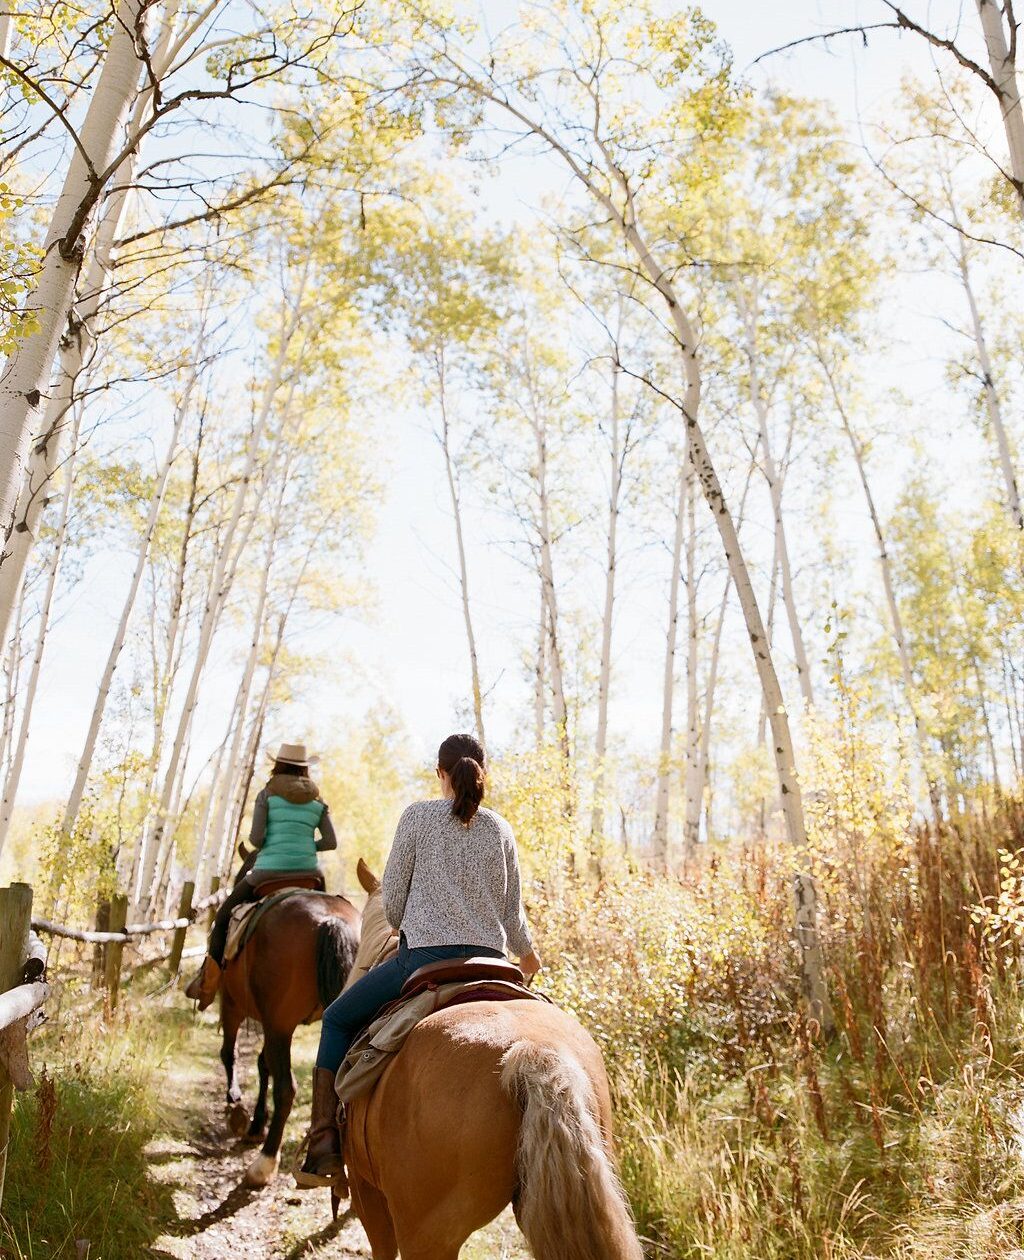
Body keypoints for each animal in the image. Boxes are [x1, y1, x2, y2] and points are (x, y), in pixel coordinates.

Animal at [215, 882, 360, 1184]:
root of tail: (331, 920)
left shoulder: (234, 1005)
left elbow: (229, 1054)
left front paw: (236, 1106)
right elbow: (263, 1064)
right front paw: (256, 1124)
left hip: (276, 1025)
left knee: (285, 1088)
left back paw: (263, 1164)